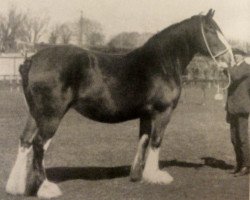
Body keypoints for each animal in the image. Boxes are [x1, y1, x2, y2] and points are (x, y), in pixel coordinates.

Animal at [5, 9, 234, 198]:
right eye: (211, 30)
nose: (230, 59)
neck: (162, 63)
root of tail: (32, 60)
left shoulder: (145, 114)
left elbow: (143, 140)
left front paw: (137, 175)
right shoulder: (163, 112)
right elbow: (156, 140)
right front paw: (156, 176)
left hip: (35, 114)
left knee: (25, 141)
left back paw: (15, 187)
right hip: (51, 115)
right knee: (38, 144)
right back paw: (46, 188)